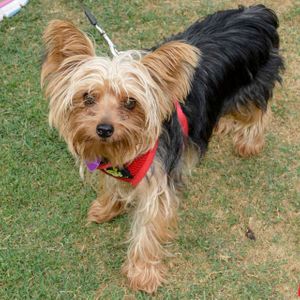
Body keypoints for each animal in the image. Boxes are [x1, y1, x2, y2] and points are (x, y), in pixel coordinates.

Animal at [41, 3, 284, 292]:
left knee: (260, 112)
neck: (128, 149)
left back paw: (250, 142)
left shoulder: (156, 185)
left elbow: (147, 227)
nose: (104, 129)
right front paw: (107, 208)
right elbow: (113, 186)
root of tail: (258, 13)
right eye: (87, 97)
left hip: (250, 90)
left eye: (131, 102)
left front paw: (142, 273)